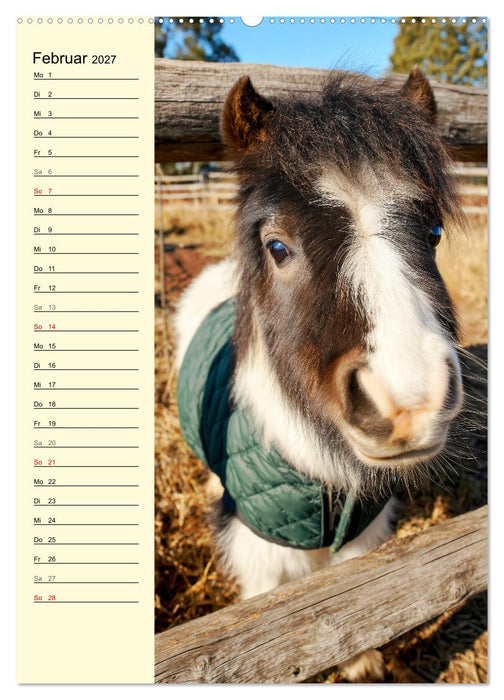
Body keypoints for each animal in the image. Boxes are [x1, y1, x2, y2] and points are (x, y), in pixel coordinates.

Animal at [174, 67, 464, 681]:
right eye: (277, 246)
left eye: (432, 233)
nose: (410, 405)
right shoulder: (260, 559)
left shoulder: (361, 536)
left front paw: (359, 663)